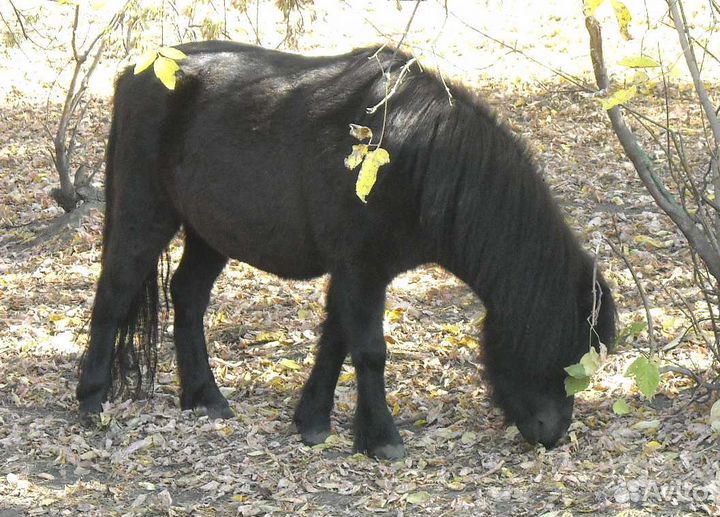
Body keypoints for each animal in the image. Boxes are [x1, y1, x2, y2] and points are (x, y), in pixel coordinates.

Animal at [76, 41, 616, 460]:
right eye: (559, 341)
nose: (552, 432)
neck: (413, 153)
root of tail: (138, 70)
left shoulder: (358, 272)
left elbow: (336, 340)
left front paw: (312, 420)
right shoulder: (360, 269)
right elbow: (370, 350)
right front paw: (382, 438)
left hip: (210, 232)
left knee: (187, 296)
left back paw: (204, 396)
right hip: (146, 214)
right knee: (116, 291)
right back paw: (91, 400)